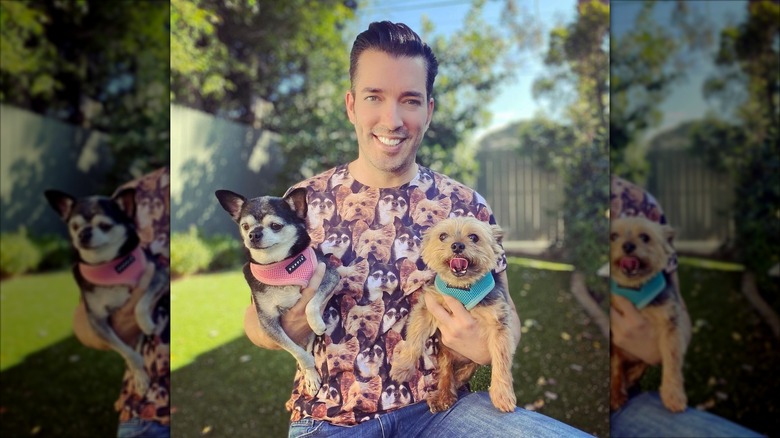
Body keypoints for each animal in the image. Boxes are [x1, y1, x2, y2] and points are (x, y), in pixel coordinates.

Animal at [390, 217, 516, 412]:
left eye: (474, 237)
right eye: (442, 236)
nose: (457, 245)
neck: (461, 288)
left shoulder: (498, 321)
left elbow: (501, 360)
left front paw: (502, 395)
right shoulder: (427, 307)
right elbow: (414, 340)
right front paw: (403, 368)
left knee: (467, 369)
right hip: (444, 354)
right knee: (445, 374)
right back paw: (443, 397)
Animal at [608, 217, 688, 412]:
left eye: (645, 237)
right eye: (613, 236)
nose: (628, 246)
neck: (635, 288)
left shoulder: (670, 324)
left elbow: (672, 360)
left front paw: (673, 395)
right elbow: (615, 366)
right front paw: (616, 395)